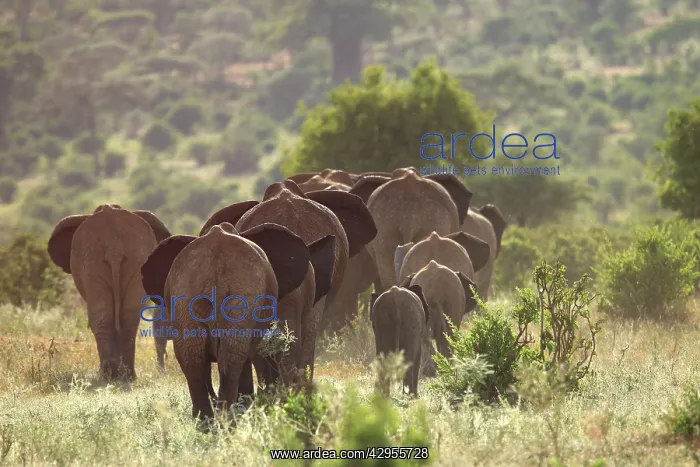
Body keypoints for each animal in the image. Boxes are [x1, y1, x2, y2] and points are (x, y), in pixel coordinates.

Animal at [47, 204, 171, 380]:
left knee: (101, 317)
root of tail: (114, 244)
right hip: (134, 259)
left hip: (91, 261)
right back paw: (126, 375)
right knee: (128, 318)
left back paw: (107, 374)